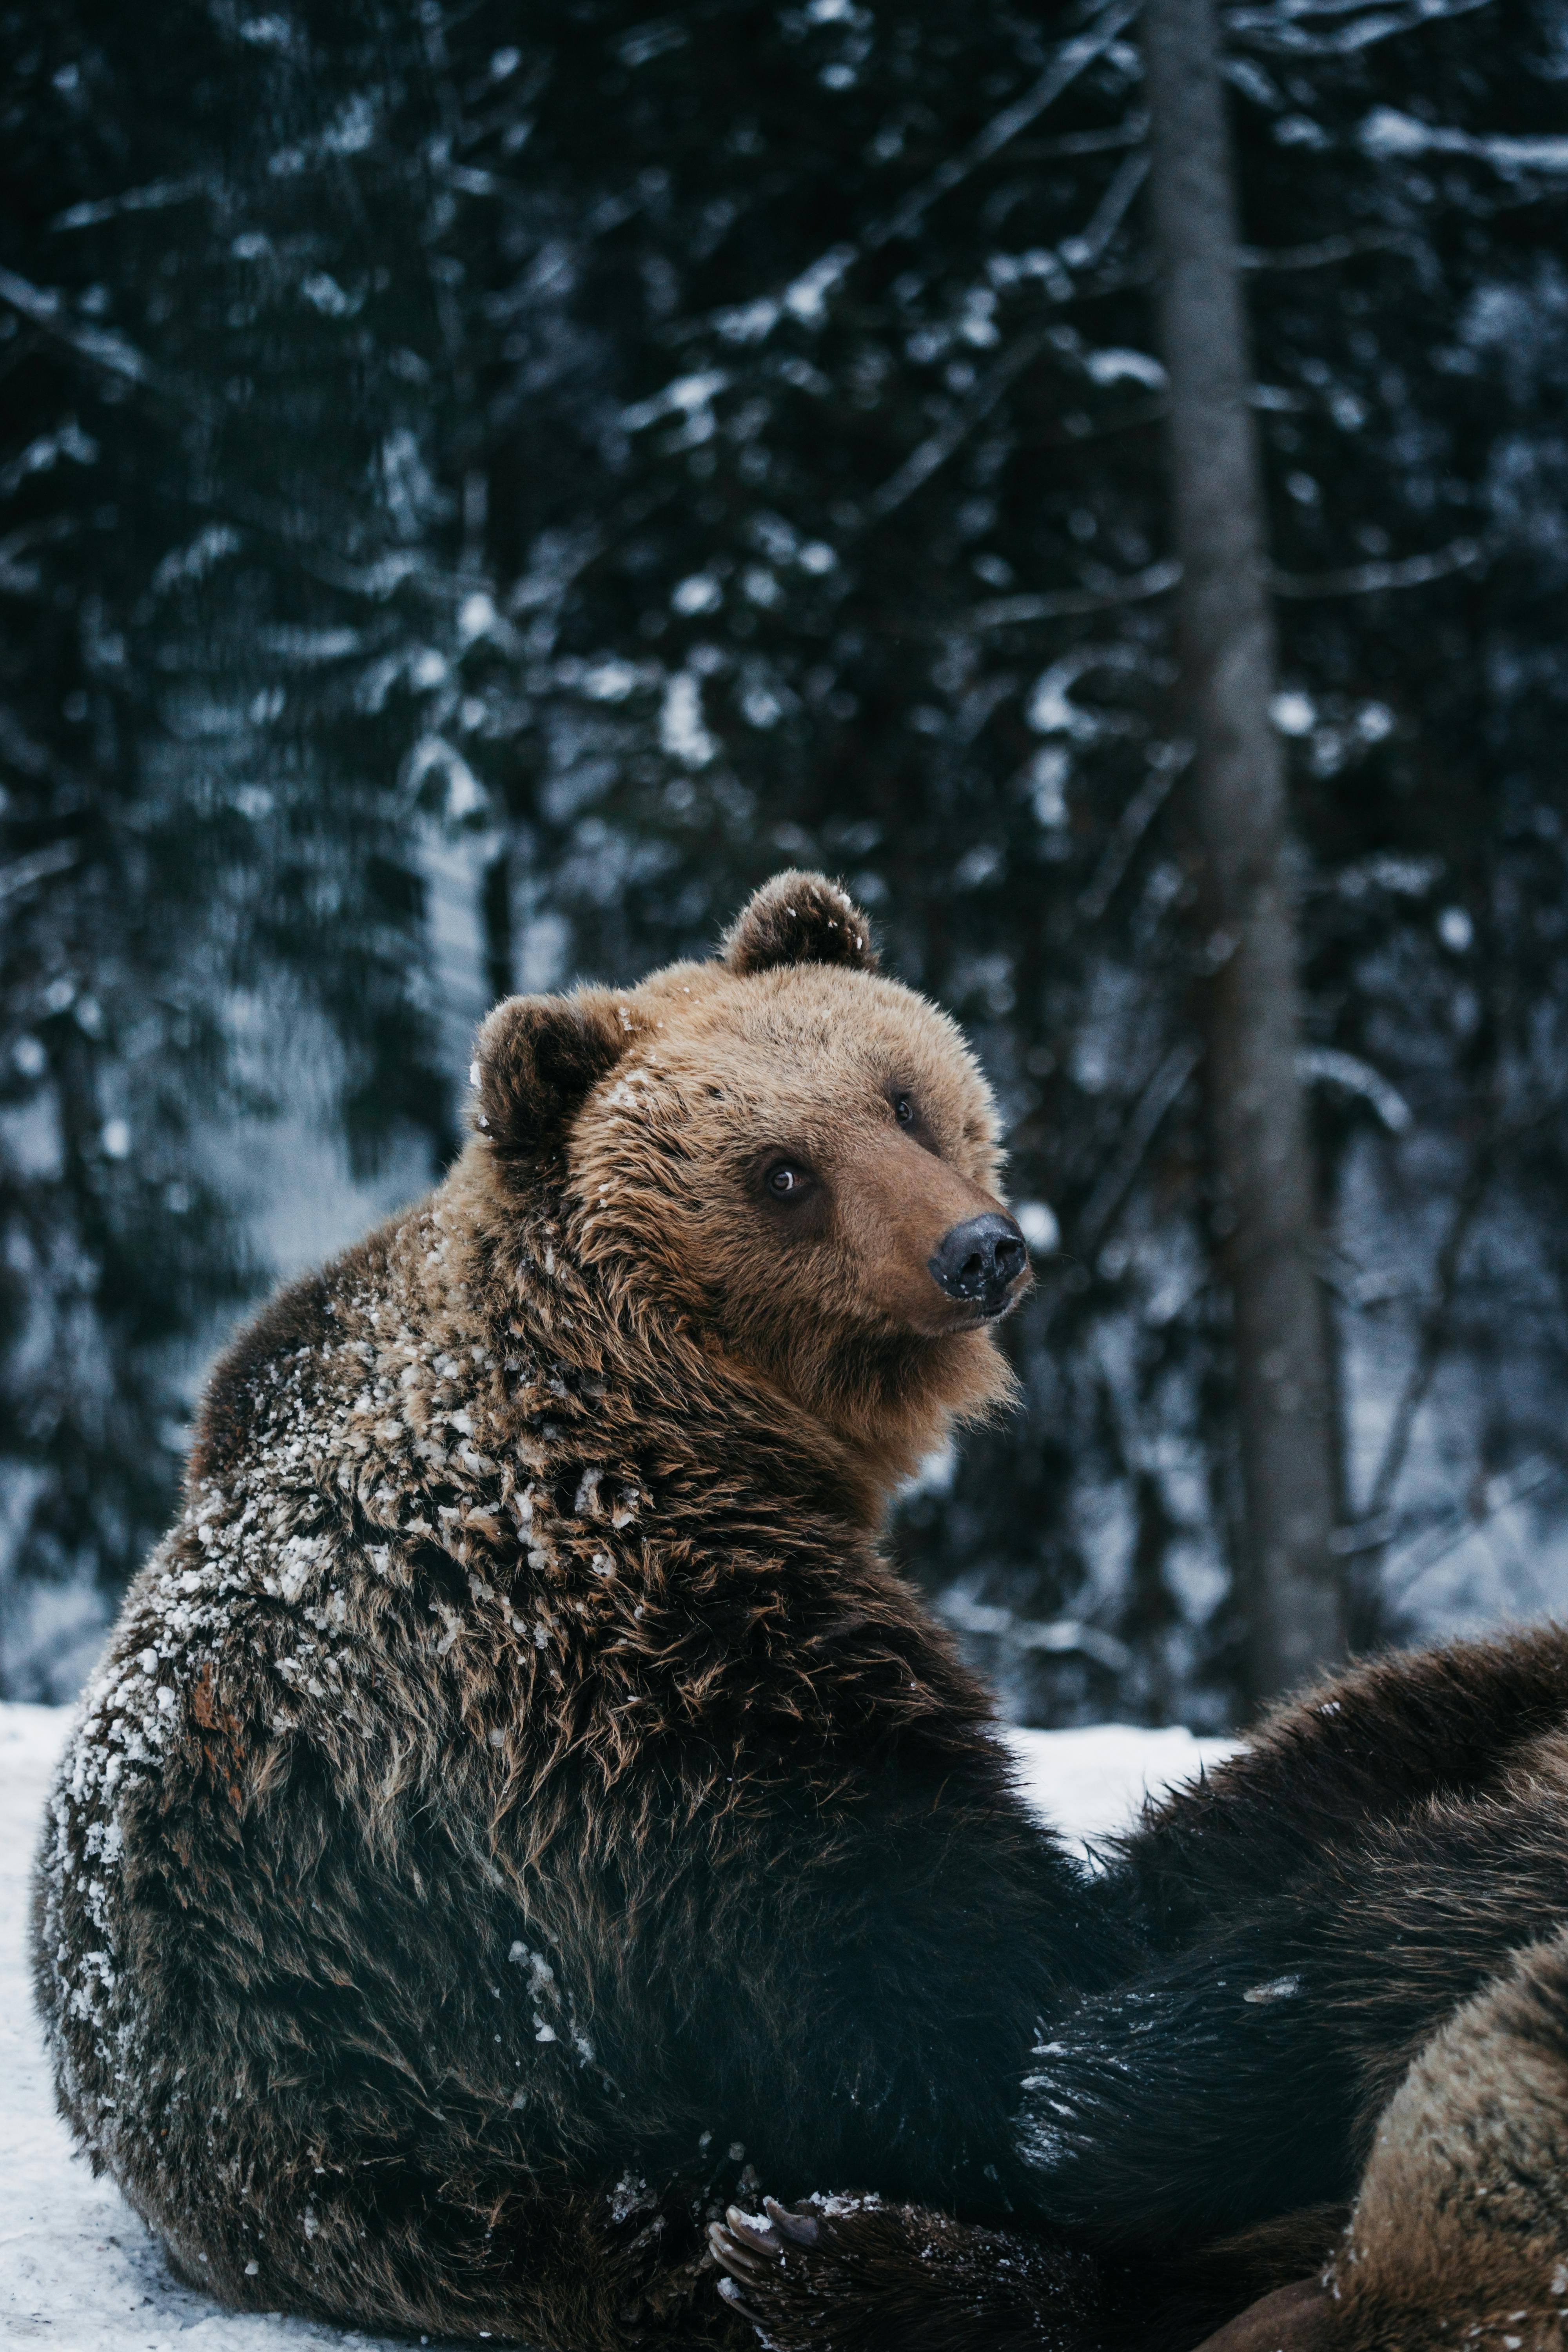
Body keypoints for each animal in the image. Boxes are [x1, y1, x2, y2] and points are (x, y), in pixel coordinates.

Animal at [34, 884, 1142, 2352]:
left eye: (902, 1095)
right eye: (780, 1171)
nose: (977, 1250)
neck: (665, 1393)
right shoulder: (626, 1637)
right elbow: (879, 1912)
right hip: (390, 2084)